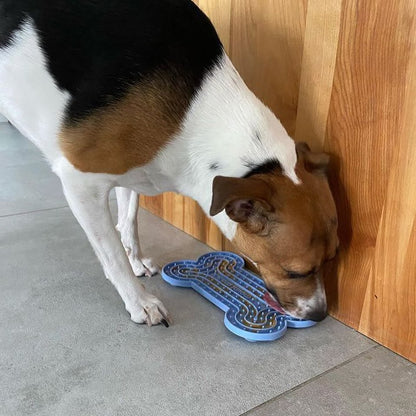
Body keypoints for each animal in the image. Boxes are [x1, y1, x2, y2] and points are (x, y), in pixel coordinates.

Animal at [0, 0, 338, 326]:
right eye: (295, 272)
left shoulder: (131, 170)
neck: (193, 111)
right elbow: (112, 254)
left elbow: (129, 222)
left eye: (333, 257)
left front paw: (136, 261)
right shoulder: (81, 182)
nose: (320, 315)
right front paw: (139, 301)